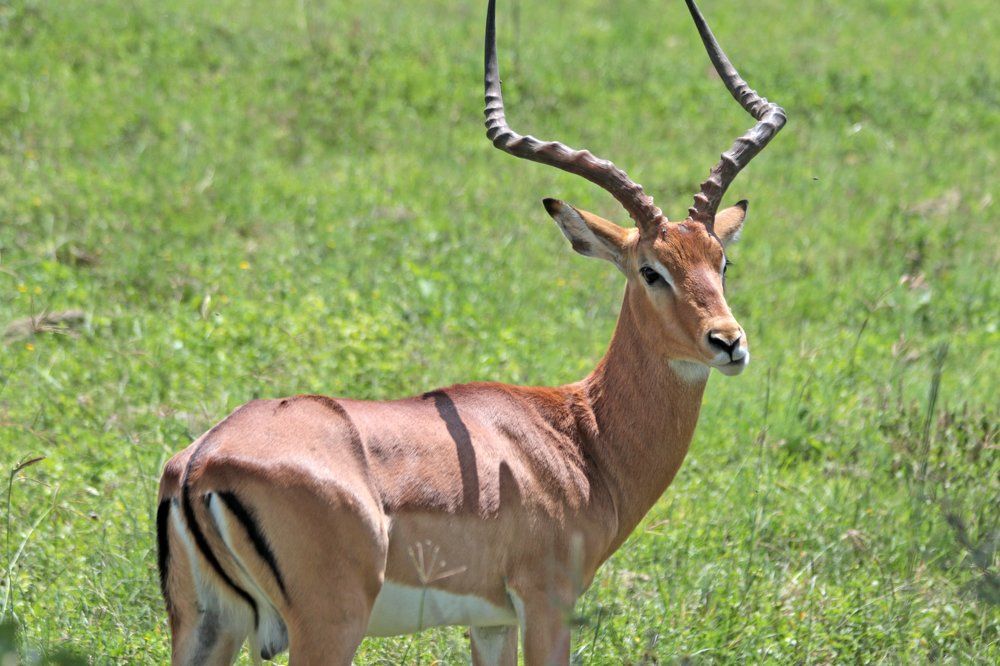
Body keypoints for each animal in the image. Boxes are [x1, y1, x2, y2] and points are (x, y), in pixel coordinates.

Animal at [155, 0, 786, 663]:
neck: (578, 437)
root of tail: (200, 462)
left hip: (207, 627)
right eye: (650, 270)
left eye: (721, 261)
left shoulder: (490, 620)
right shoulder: (545, 605)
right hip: (328, 627)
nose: (728, 342)